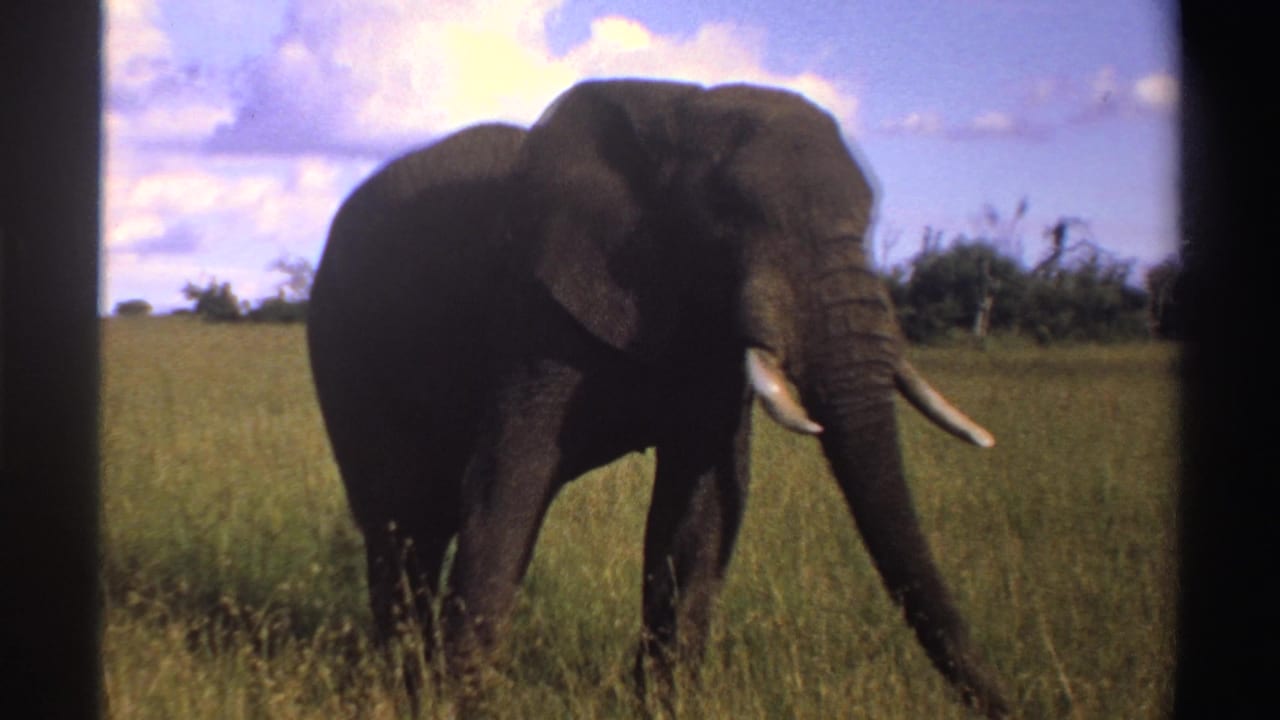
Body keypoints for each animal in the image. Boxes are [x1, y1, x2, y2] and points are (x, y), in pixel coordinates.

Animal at [307, 79, 1009, 718]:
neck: (680, 113)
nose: (1009, 702)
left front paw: (667, 705)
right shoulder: (535, 311)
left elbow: (703, 507)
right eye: (730, 215)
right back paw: (400, 680)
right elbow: (508, 482)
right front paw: (455, 705)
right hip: (343, 342)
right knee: (400, 523)